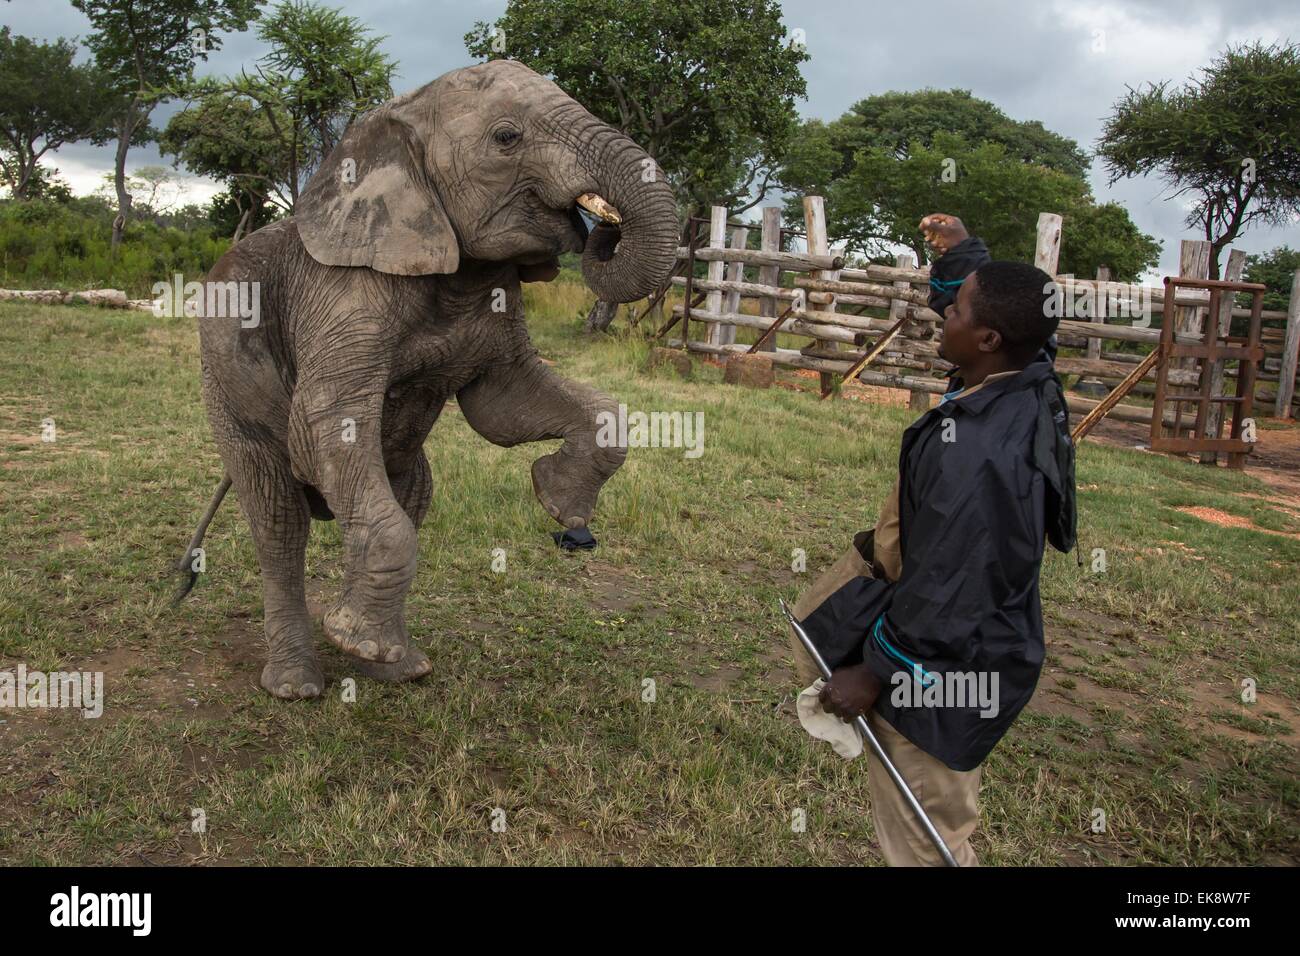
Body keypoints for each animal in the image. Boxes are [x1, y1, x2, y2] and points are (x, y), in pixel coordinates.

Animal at [174, 61, 676, 702]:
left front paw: (560, 507)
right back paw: (298, 683)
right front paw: (350, 639)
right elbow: (323, 421)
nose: (602, 231)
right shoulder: (342, 291)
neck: (397, 116)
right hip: (223, 386)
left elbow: (504, 404)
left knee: (409, 496)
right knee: (279, 520)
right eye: (506, 137)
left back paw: (395, 665)